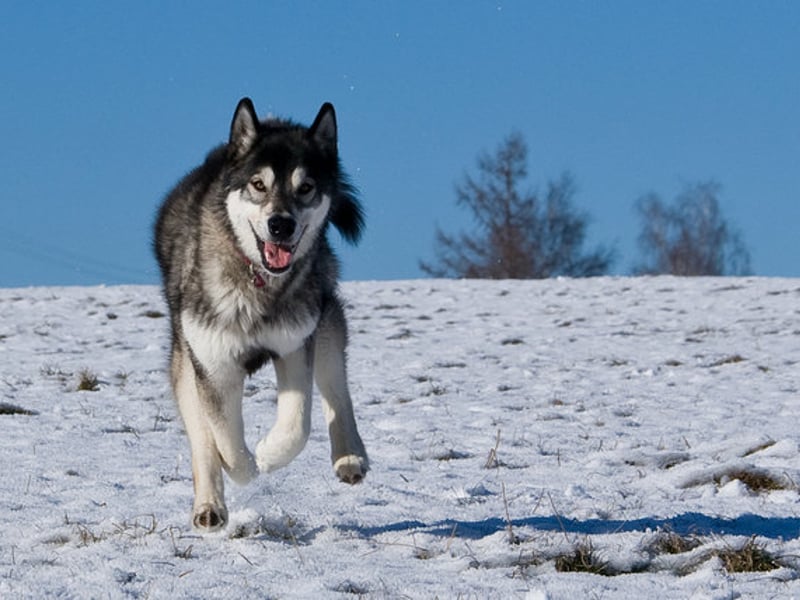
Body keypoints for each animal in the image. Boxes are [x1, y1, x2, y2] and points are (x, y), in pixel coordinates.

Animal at [153, 99, 368, 536]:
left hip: (325, 315)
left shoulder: (295, 345)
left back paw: (350, 457)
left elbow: (297, 425)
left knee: (336, 385)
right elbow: (223, 440)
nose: (280, 224)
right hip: (184, 358)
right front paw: (247, 468)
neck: (258, 283)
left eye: (306, 187)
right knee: (201, 436)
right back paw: (209, 506)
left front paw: (268, 454)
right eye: (258, 185)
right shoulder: (214, 363)